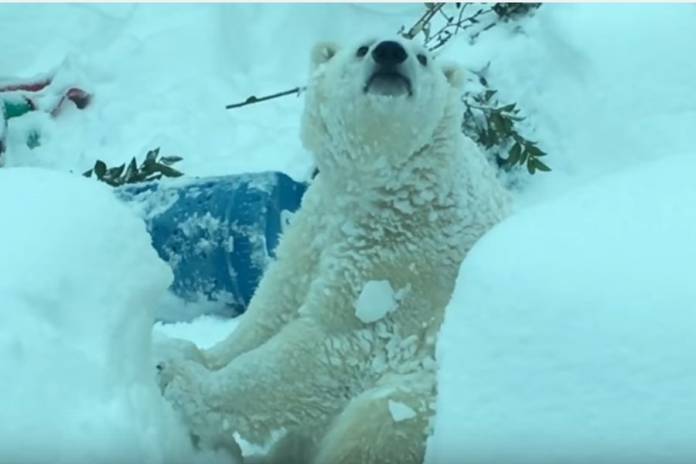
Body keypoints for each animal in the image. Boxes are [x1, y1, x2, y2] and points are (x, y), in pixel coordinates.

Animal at [158, 37, 508, 464]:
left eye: (423, 57)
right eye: (362, 47)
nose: (390, 52)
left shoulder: (405, 264)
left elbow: (330, 347)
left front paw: (180, 378)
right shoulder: (316, 221)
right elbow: (274, 304)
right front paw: (189, 351)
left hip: (421, 403)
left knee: (373, 427)